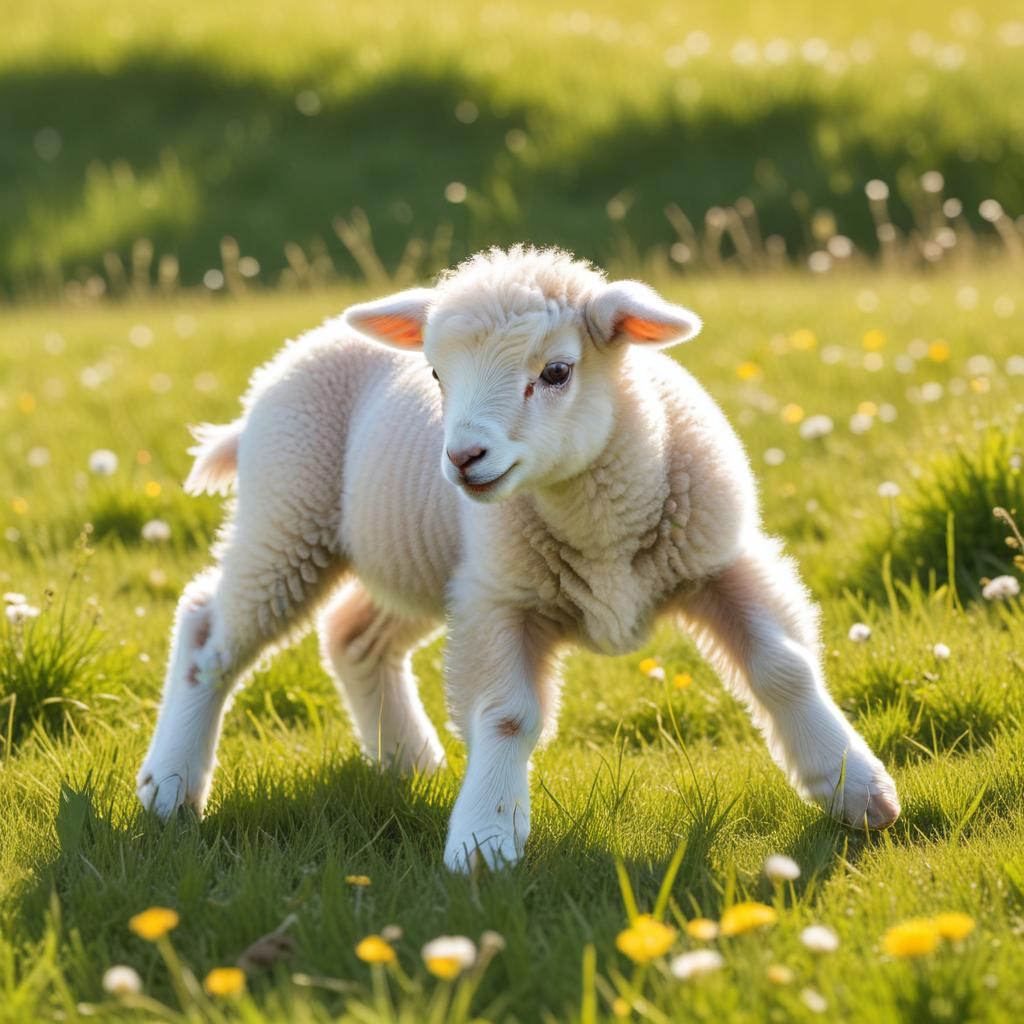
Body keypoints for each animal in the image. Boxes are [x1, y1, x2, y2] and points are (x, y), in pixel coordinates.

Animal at [137, 245, 900, 871]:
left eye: (556, 371)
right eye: (436, 374)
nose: (462, 458)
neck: (600, 524)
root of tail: (283, 362)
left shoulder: (721, 561)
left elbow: (783, 668)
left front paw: (854, 787)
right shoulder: (500, 601)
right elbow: (507, 715)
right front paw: (483, 841)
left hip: (416, 561)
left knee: (353, 633)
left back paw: (407, 762)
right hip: (287, 519)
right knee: (207, 629)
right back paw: (168, 788)